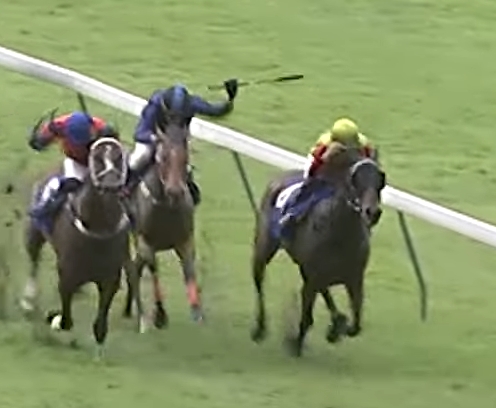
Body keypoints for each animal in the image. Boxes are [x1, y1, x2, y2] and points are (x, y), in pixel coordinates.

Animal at [20, 137, 145, 357]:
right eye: (97, 159)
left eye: (118, 158)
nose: (111, 185)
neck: (98, 228)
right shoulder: (67, 277)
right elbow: (66, 320)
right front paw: (54, 319)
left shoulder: (109, 280)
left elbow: (100, 326)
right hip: (34, 233)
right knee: (34, 261)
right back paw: (28, 301)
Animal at [122, 100, 202, 327]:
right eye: (163, 157)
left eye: (185, 156)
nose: (175, 191)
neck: (167, 208)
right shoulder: (145, 243)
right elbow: (154, 270)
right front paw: (160, 314)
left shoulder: (185, 241)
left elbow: (189, 271)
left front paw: (197, 310)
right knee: (135, 269)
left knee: (135, 268)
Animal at [250, 142, 387, 357]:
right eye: (355, 178)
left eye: (380, 178)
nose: (372, 212)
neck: (341, 234)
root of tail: (279, 177)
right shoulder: (313, 278)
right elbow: (306, 318)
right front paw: (296, 345)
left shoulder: (354, 279)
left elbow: (356, 324)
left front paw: (336, 328)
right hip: (264, 248)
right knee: (259, 281)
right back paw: (260, 328)